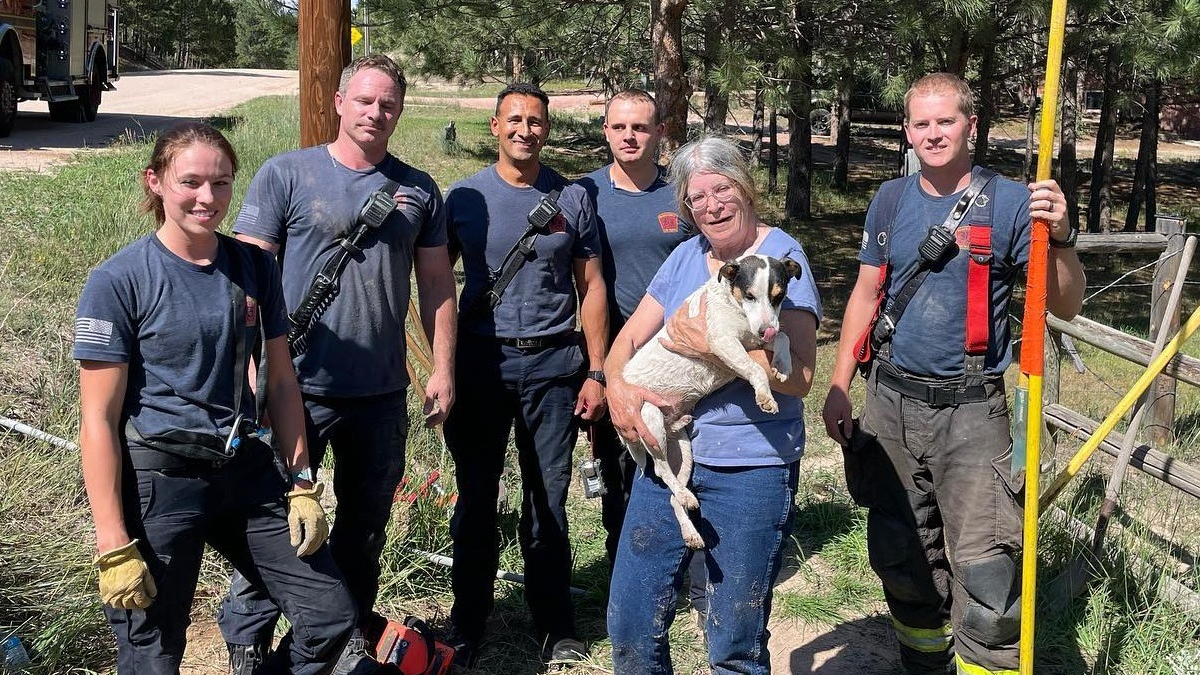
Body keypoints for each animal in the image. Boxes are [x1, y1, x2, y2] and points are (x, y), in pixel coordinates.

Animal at [624, 252, 801, 547]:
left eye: (779, 296)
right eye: (750, 295)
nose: (766, 330)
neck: (735, 306)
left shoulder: (754, 340)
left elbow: (785, 337)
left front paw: (783, 364)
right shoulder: (723, 342)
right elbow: (755, 369)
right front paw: (764, 396)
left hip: (683, 451)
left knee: (673, 495)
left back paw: (691, 530)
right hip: (649, 419)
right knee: (660, 470)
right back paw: (685, 497)